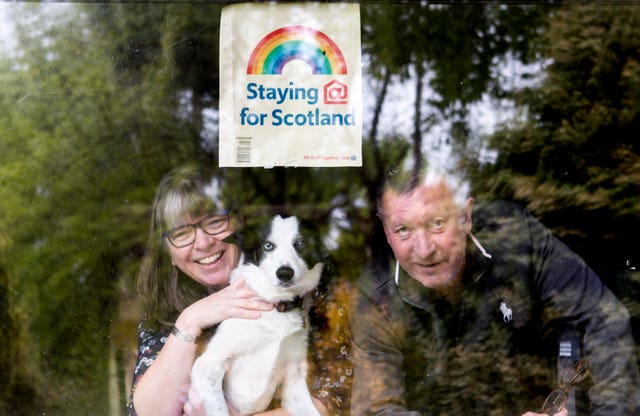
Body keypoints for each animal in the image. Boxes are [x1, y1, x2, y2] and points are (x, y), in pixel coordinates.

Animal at [189, 214, 320, 416]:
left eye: (301, 243)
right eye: (268, 245)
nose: (284, 273)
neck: (276, 304)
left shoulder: (294, 380)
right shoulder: (207, 367)